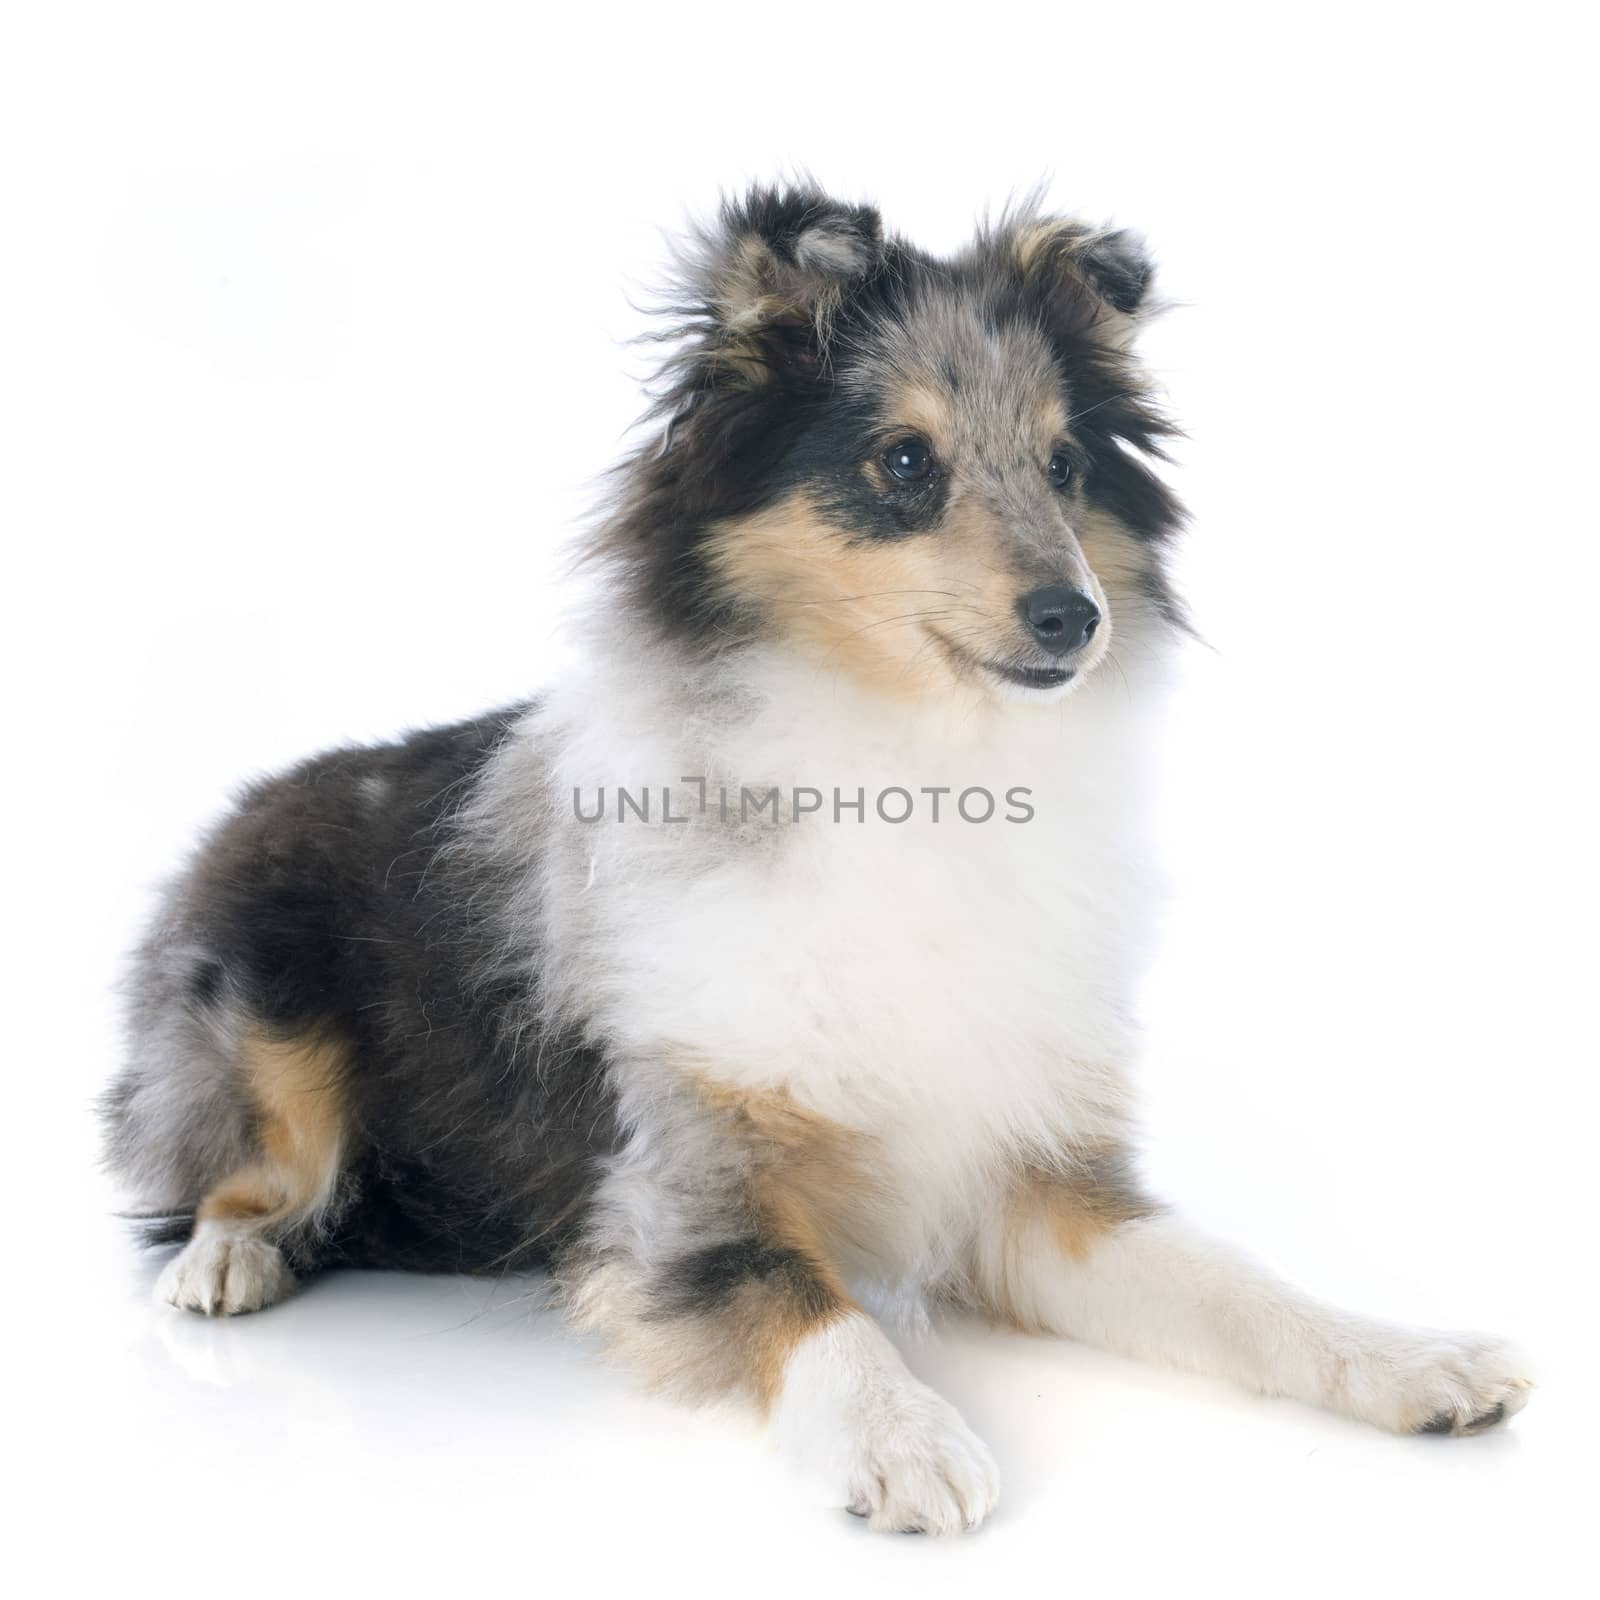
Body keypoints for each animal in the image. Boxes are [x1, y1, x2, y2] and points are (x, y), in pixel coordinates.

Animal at [106, 181, 1529, 1529]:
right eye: (903, 460)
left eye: (1065, 462)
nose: (1074, 618)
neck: (921, 767)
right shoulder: (686, 1175)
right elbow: (807, 1302)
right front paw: (902, 1439)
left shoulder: (1025, 1165)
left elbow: (1237, 1288)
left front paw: (1412, 1358)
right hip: (259, 1000)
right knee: (240, 1167)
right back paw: (228, 1259)